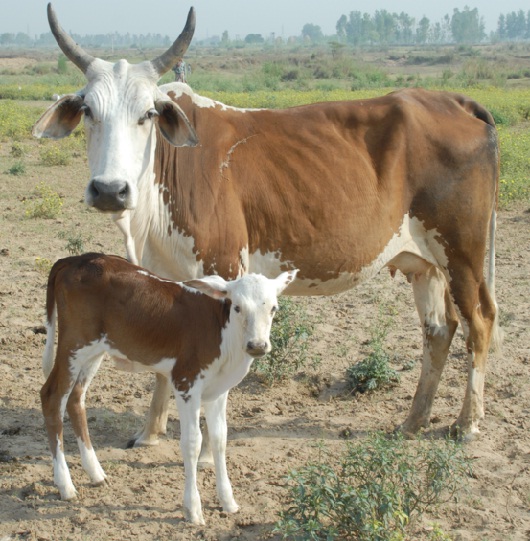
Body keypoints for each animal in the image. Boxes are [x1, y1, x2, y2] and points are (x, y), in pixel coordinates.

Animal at [31, 4, 502, 442]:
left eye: (147, 114)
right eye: (88, 111)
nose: (110, 190)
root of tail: (454, 101)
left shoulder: (223, 266)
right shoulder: (169, 276)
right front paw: (150, 432)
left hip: (463, 253)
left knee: (479, 323)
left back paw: (467, 422)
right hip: (424, 262)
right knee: (439, 330)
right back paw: (413, 420)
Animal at [40, 253, 296, 524]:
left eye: (273, 308)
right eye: (237, 307)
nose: (257, 345)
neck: (221, 332)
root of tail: (76, 259)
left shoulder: (218, 391)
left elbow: (219, 439)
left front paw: (228, 502)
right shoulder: (186, 383)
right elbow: (192, 442)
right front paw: (193, 510)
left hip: (94, 350)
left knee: (75, 398)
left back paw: (96, 473)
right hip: (73, 344)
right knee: (51, 397)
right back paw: (65, 485)